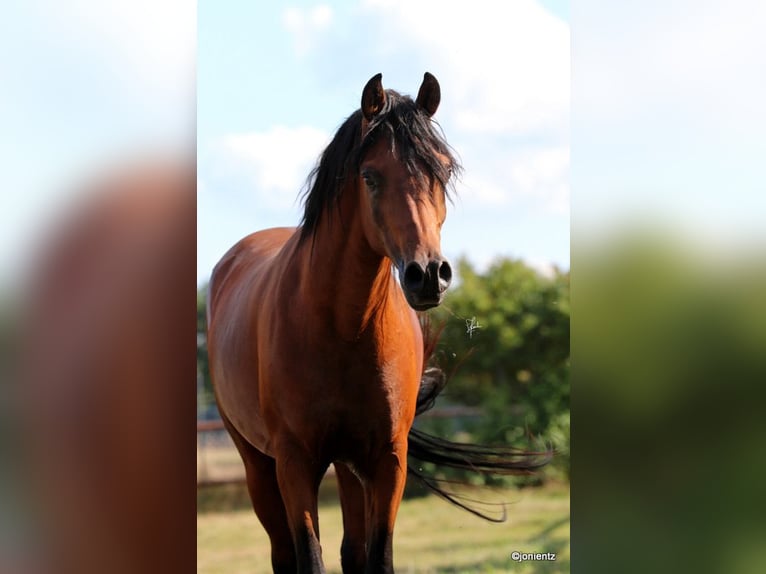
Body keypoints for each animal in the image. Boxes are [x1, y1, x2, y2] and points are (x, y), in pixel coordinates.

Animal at [206, 73, 545, 574]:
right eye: (370, 176)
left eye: (443, 171)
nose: (429, 274)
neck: (342, 328)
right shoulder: (294, 463)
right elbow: (310, 556)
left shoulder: (387, 461)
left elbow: (377, 555)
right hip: (257, 464)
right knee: (283, 552)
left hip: (348, 465)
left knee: (351, 550)